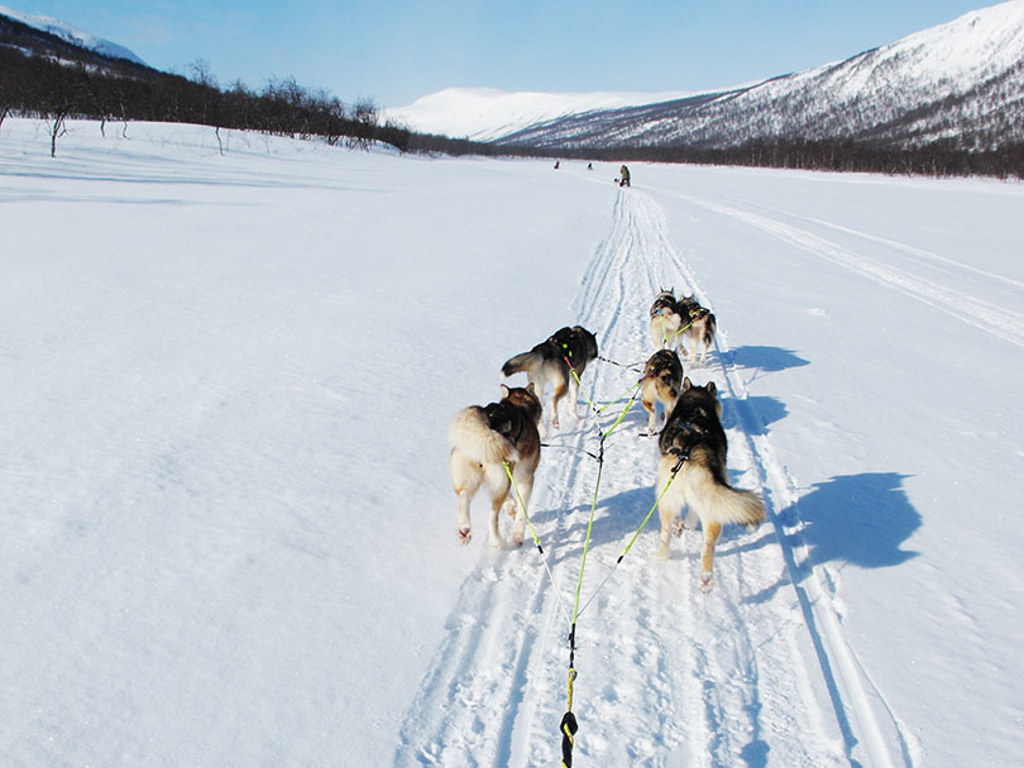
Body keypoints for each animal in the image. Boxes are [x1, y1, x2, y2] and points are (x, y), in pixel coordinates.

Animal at [448, 387, 544, 548]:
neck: (519, 406)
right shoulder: (525, 478)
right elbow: (522, 512)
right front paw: (517, 535)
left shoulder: (507, 477)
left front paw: (511, 507)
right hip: (501, 480)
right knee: (492, 516)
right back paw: (497, 541)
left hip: (473, 477)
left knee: (464, 496)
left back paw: (465, 529)